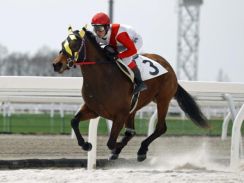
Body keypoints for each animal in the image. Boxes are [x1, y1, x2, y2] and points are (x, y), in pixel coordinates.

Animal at [52, 27, 209, 162]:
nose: (56, 64)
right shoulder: (94, 110)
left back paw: (141, 151)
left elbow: (111, 142)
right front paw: (86, 144)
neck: (103, 79)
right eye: (62, 43)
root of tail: (169, 67)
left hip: (163, 99)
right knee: (133, 131)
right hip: (135, 107)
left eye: (74, 44)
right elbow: (74, 121)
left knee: (160, 128)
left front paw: (116, 149)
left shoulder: (120, 115)